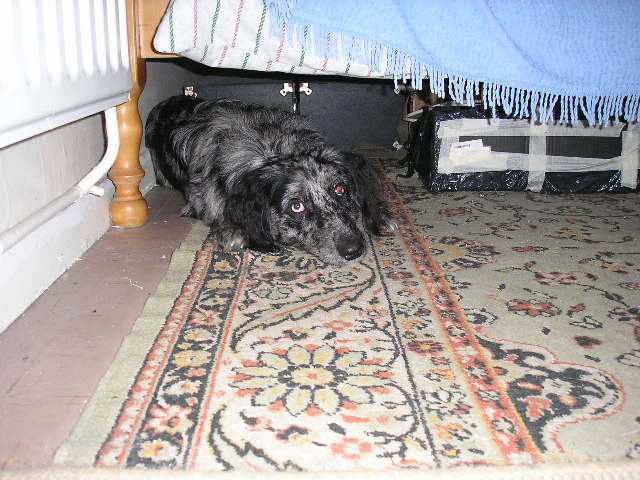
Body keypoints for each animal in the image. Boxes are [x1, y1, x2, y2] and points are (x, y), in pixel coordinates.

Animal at [145, 95, 396, 264]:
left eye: (340, 189)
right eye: (297, 206)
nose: (354, 250)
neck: (275, 147)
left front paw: (381, 215)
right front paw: (233, 231)